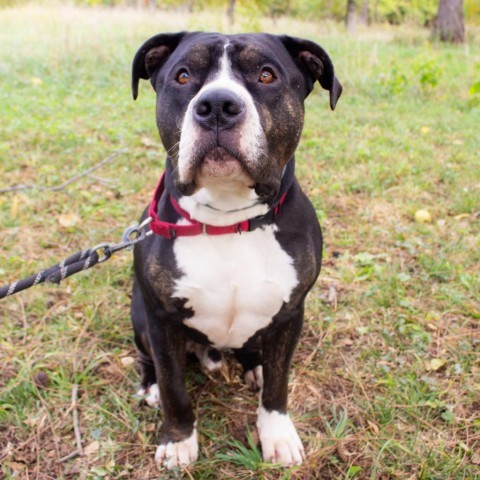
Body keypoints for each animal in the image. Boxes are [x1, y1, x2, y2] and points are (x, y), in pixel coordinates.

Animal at [130, 31, 342, 468]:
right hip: (139, 316)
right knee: (148, 361)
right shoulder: (160, 320)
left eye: (266, 75)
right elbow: (174, 386)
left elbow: (279, 384)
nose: (216, 107)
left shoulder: (291, 312)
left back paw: (255, 367)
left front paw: (277, 434)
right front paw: (178, 439)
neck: (228, 219)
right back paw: (149, 386)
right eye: (183, 75)